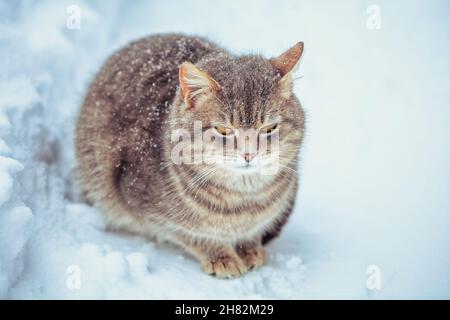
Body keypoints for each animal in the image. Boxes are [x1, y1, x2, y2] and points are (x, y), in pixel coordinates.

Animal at [75, 33, 306, 278]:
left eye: (269, 128)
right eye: (223, 130)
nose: (249, 154)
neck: (243, 202)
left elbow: (253, 231)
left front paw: (249, 247)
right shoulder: (147, 210)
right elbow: (192, 234)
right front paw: (221, 255)